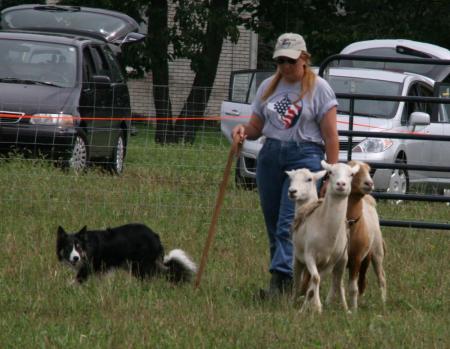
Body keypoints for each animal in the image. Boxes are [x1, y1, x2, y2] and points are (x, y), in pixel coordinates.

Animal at [292, 160, 358, 312]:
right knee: (297, 280)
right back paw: (292, 302)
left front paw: (314, 306)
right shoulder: (309, 255)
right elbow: (315, 280)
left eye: (351, 175)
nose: (341, 184)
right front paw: (313, 308)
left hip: (341, 260)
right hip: (298, 258)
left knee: (338, 283)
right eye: (330, 172)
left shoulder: (330, 262)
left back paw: (346, 308)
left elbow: (316, 281)